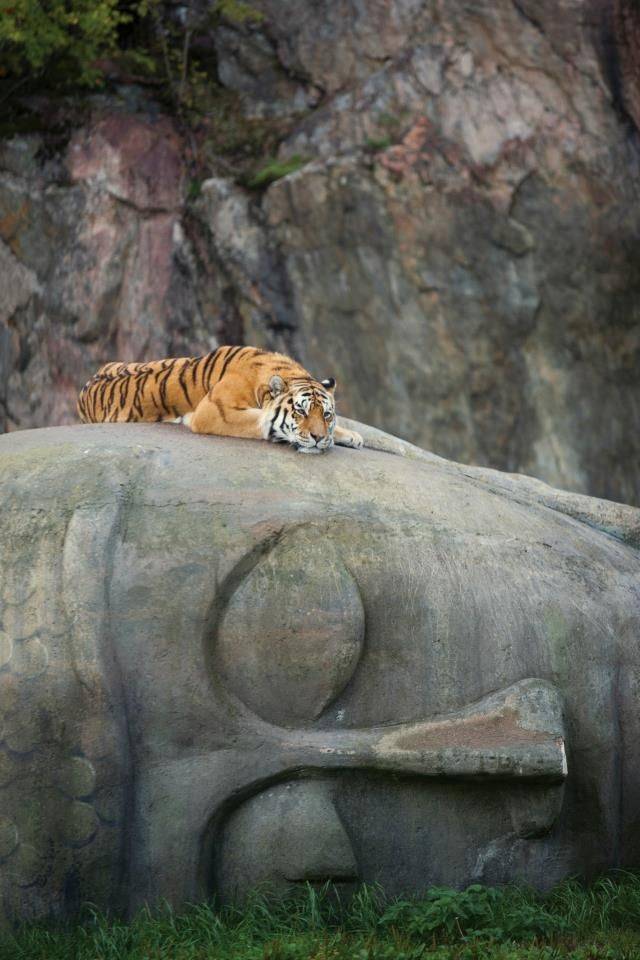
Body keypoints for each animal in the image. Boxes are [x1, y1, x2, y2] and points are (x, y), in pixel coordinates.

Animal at [77, 344, 362, 454]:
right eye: (300, 411)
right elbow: (263, 420)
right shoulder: (215, 411)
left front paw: (350, 436)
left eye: (326, 414)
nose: (318, 438)